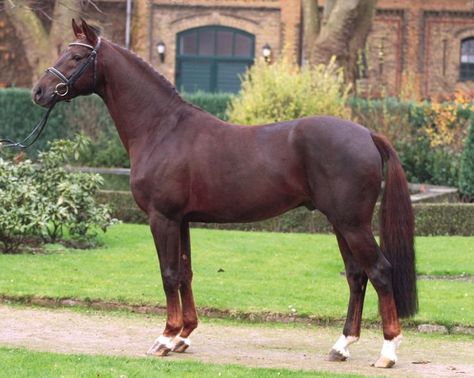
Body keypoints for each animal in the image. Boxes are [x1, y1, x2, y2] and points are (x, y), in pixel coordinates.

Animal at [33, 19, 416, 368]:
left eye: (76, 56)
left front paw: (165, 338)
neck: (162, 128)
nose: (39, 92)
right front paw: (184, 336)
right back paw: (342, 345)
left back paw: (387, 352)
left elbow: (168, 274)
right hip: (340, 223)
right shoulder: (182, 220)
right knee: (356, 275)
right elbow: (184, 273)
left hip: (353, 224)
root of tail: (367, 134)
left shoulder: (162, 218)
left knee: (380, 271)